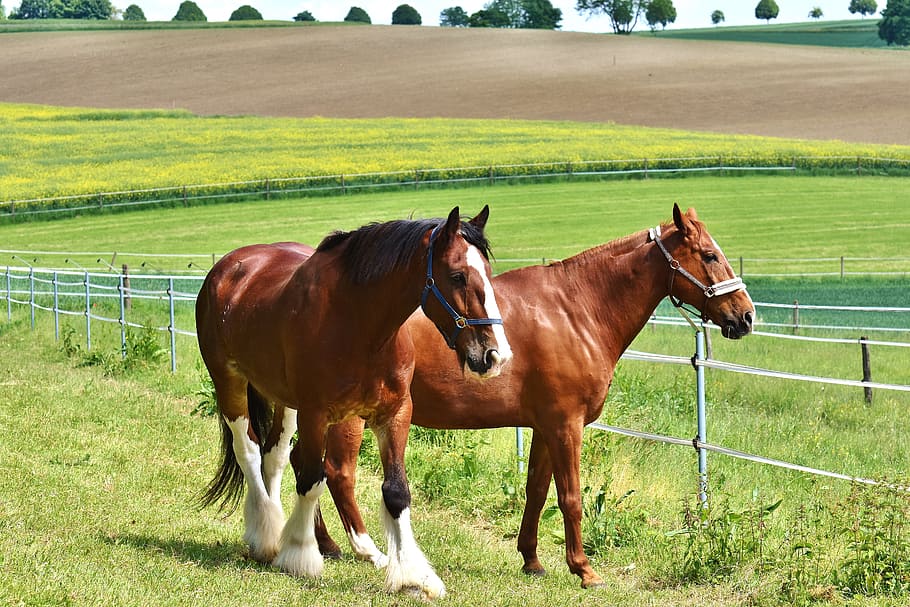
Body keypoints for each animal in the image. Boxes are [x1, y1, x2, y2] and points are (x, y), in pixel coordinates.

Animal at [195, 205, 512, 599]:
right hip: (230, 384)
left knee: (274, 456)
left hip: (286, 402)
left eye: (488, 273)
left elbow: (396, 491)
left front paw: (413, 576)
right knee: (250, 452)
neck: (361, 325)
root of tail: (228, 267)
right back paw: (266, 535)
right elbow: (312, 479)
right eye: (457, 275)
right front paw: (299, 555)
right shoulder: (316, 414)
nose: (495, 355)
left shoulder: (394, 414)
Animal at [304, 204, 754, 588]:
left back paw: (325, 544)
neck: (574, 310)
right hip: (349, 418)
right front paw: (584, 569)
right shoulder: (566, 425)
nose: (746, 315)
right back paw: (363, 551)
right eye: (710, 256)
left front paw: (532, 560)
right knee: (337, 473)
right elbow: (570, 497)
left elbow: (536, 490)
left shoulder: (544, 425)